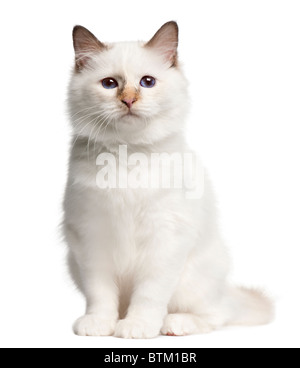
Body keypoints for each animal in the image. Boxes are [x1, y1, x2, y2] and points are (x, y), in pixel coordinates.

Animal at [62, 21, 272, 338]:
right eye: (109, 84)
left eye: (147, 82)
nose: (128, 100)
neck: (128, 154)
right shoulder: (91, 238)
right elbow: (100, 294)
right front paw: (100, 325)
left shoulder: (165, 238)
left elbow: (149, 295)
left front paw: (137, 327)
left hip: (194, 279)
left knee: (216, 315)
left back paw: (174, 324)